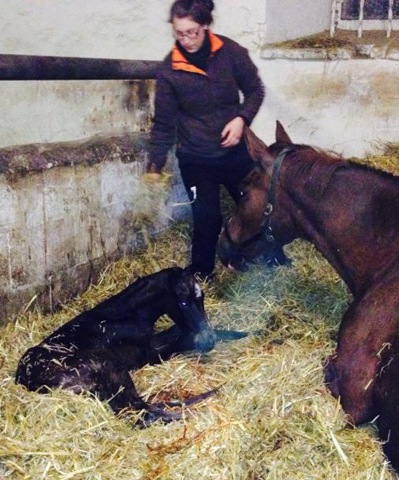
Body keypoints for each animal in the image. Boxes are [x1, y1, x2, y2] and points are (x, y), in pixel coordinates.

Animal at [15, 266, 245, 428]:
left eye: (202, 297)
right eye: (183, 302)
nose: (208, 341)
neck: (126, 315)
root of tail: (27, 381)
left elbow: (178, 334)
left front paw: (242, 333)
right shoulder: (146, 354)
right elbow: (180, 340)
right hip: (108, 366)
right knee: (140, 410)